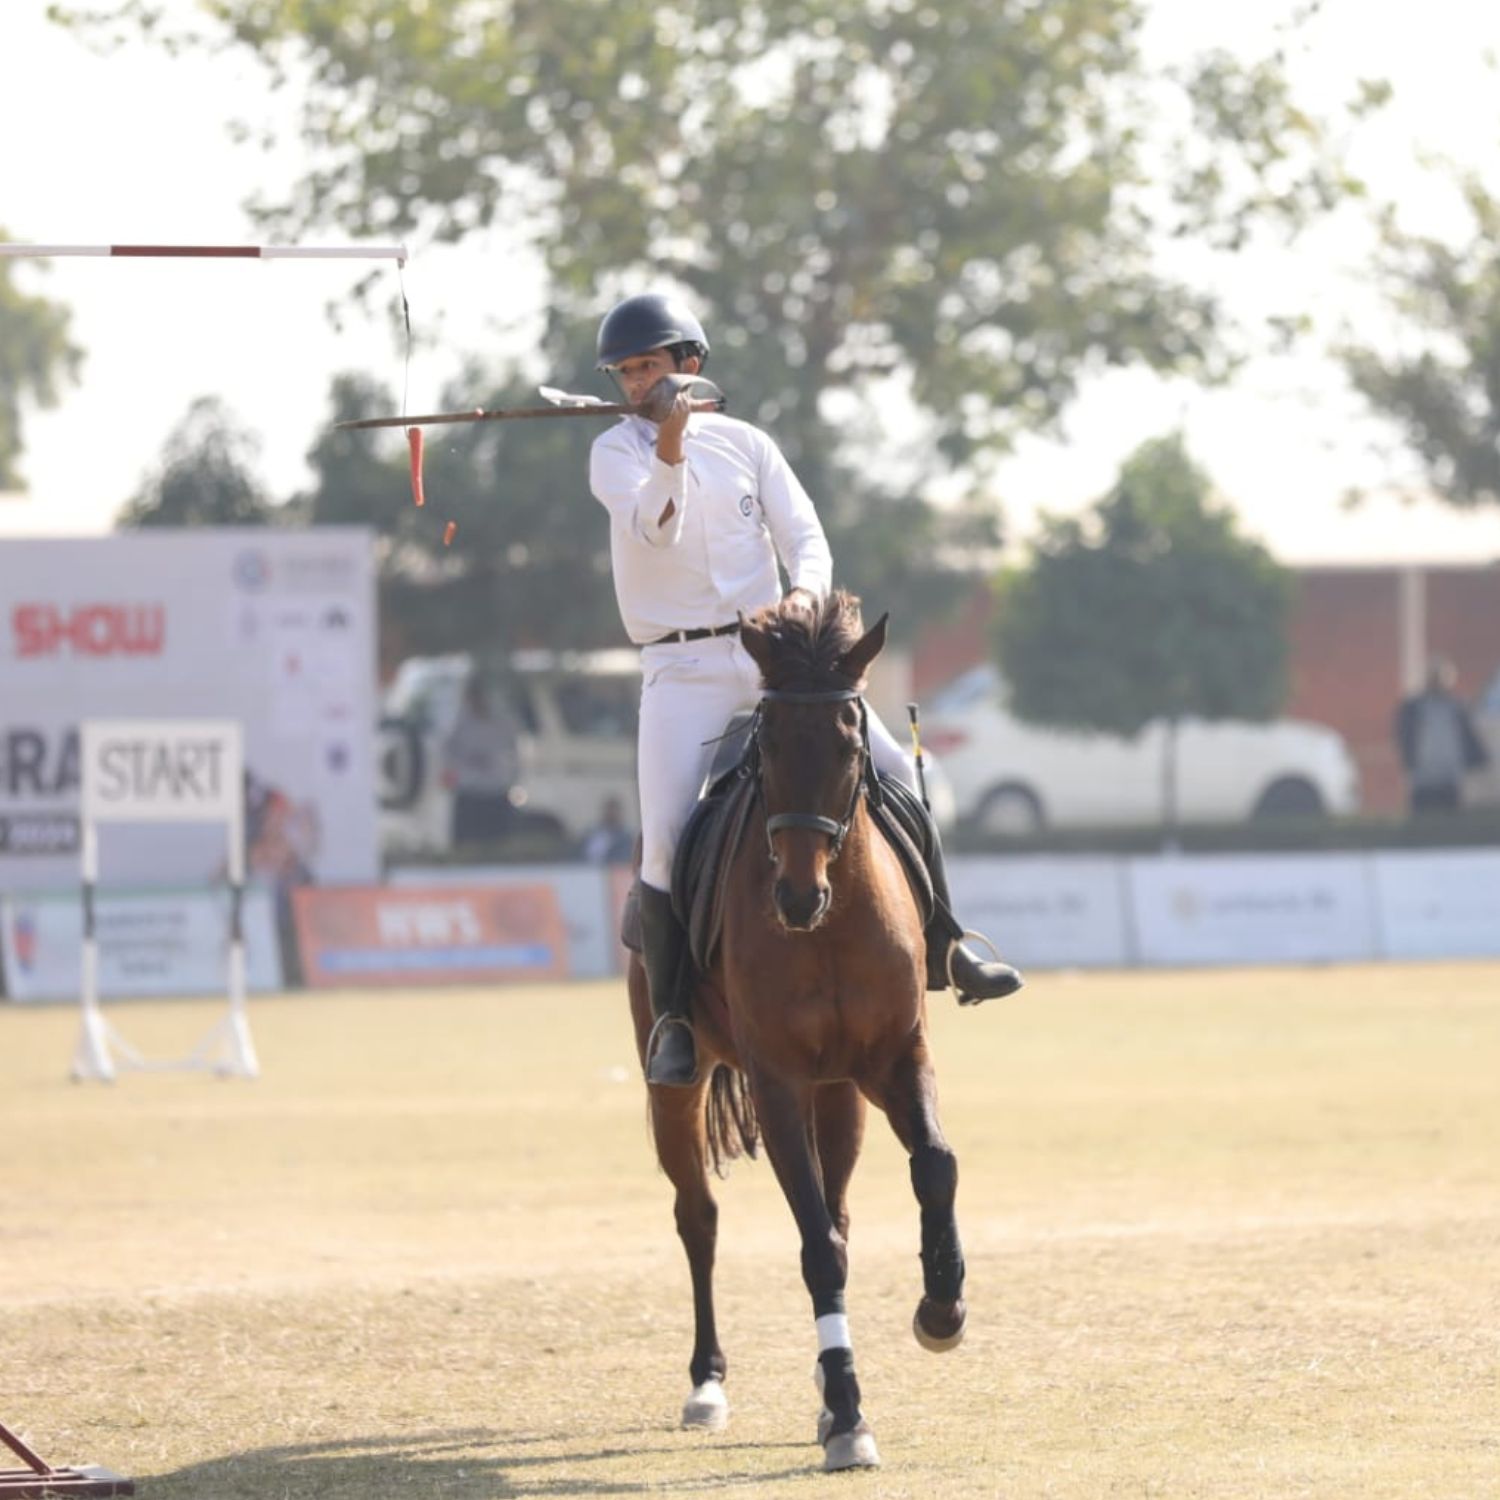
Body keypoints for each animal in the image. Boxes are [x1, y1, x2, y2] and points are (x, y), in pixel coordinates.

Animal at [626, 589, 968, 1472]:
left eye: (851, 742)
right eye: (769, 747)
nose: (796, 898)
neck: (834, 925)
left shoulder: (896, 1057)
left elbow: (934, 1168)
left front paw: (941, 1308)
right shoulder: (777, 1079)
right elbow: (815, 1246)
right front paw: (848, 1413)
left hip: (839, 1090)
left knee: (839, 1205)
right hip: (678, 1085)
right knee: (699, 1216)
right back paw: (707, 1383)